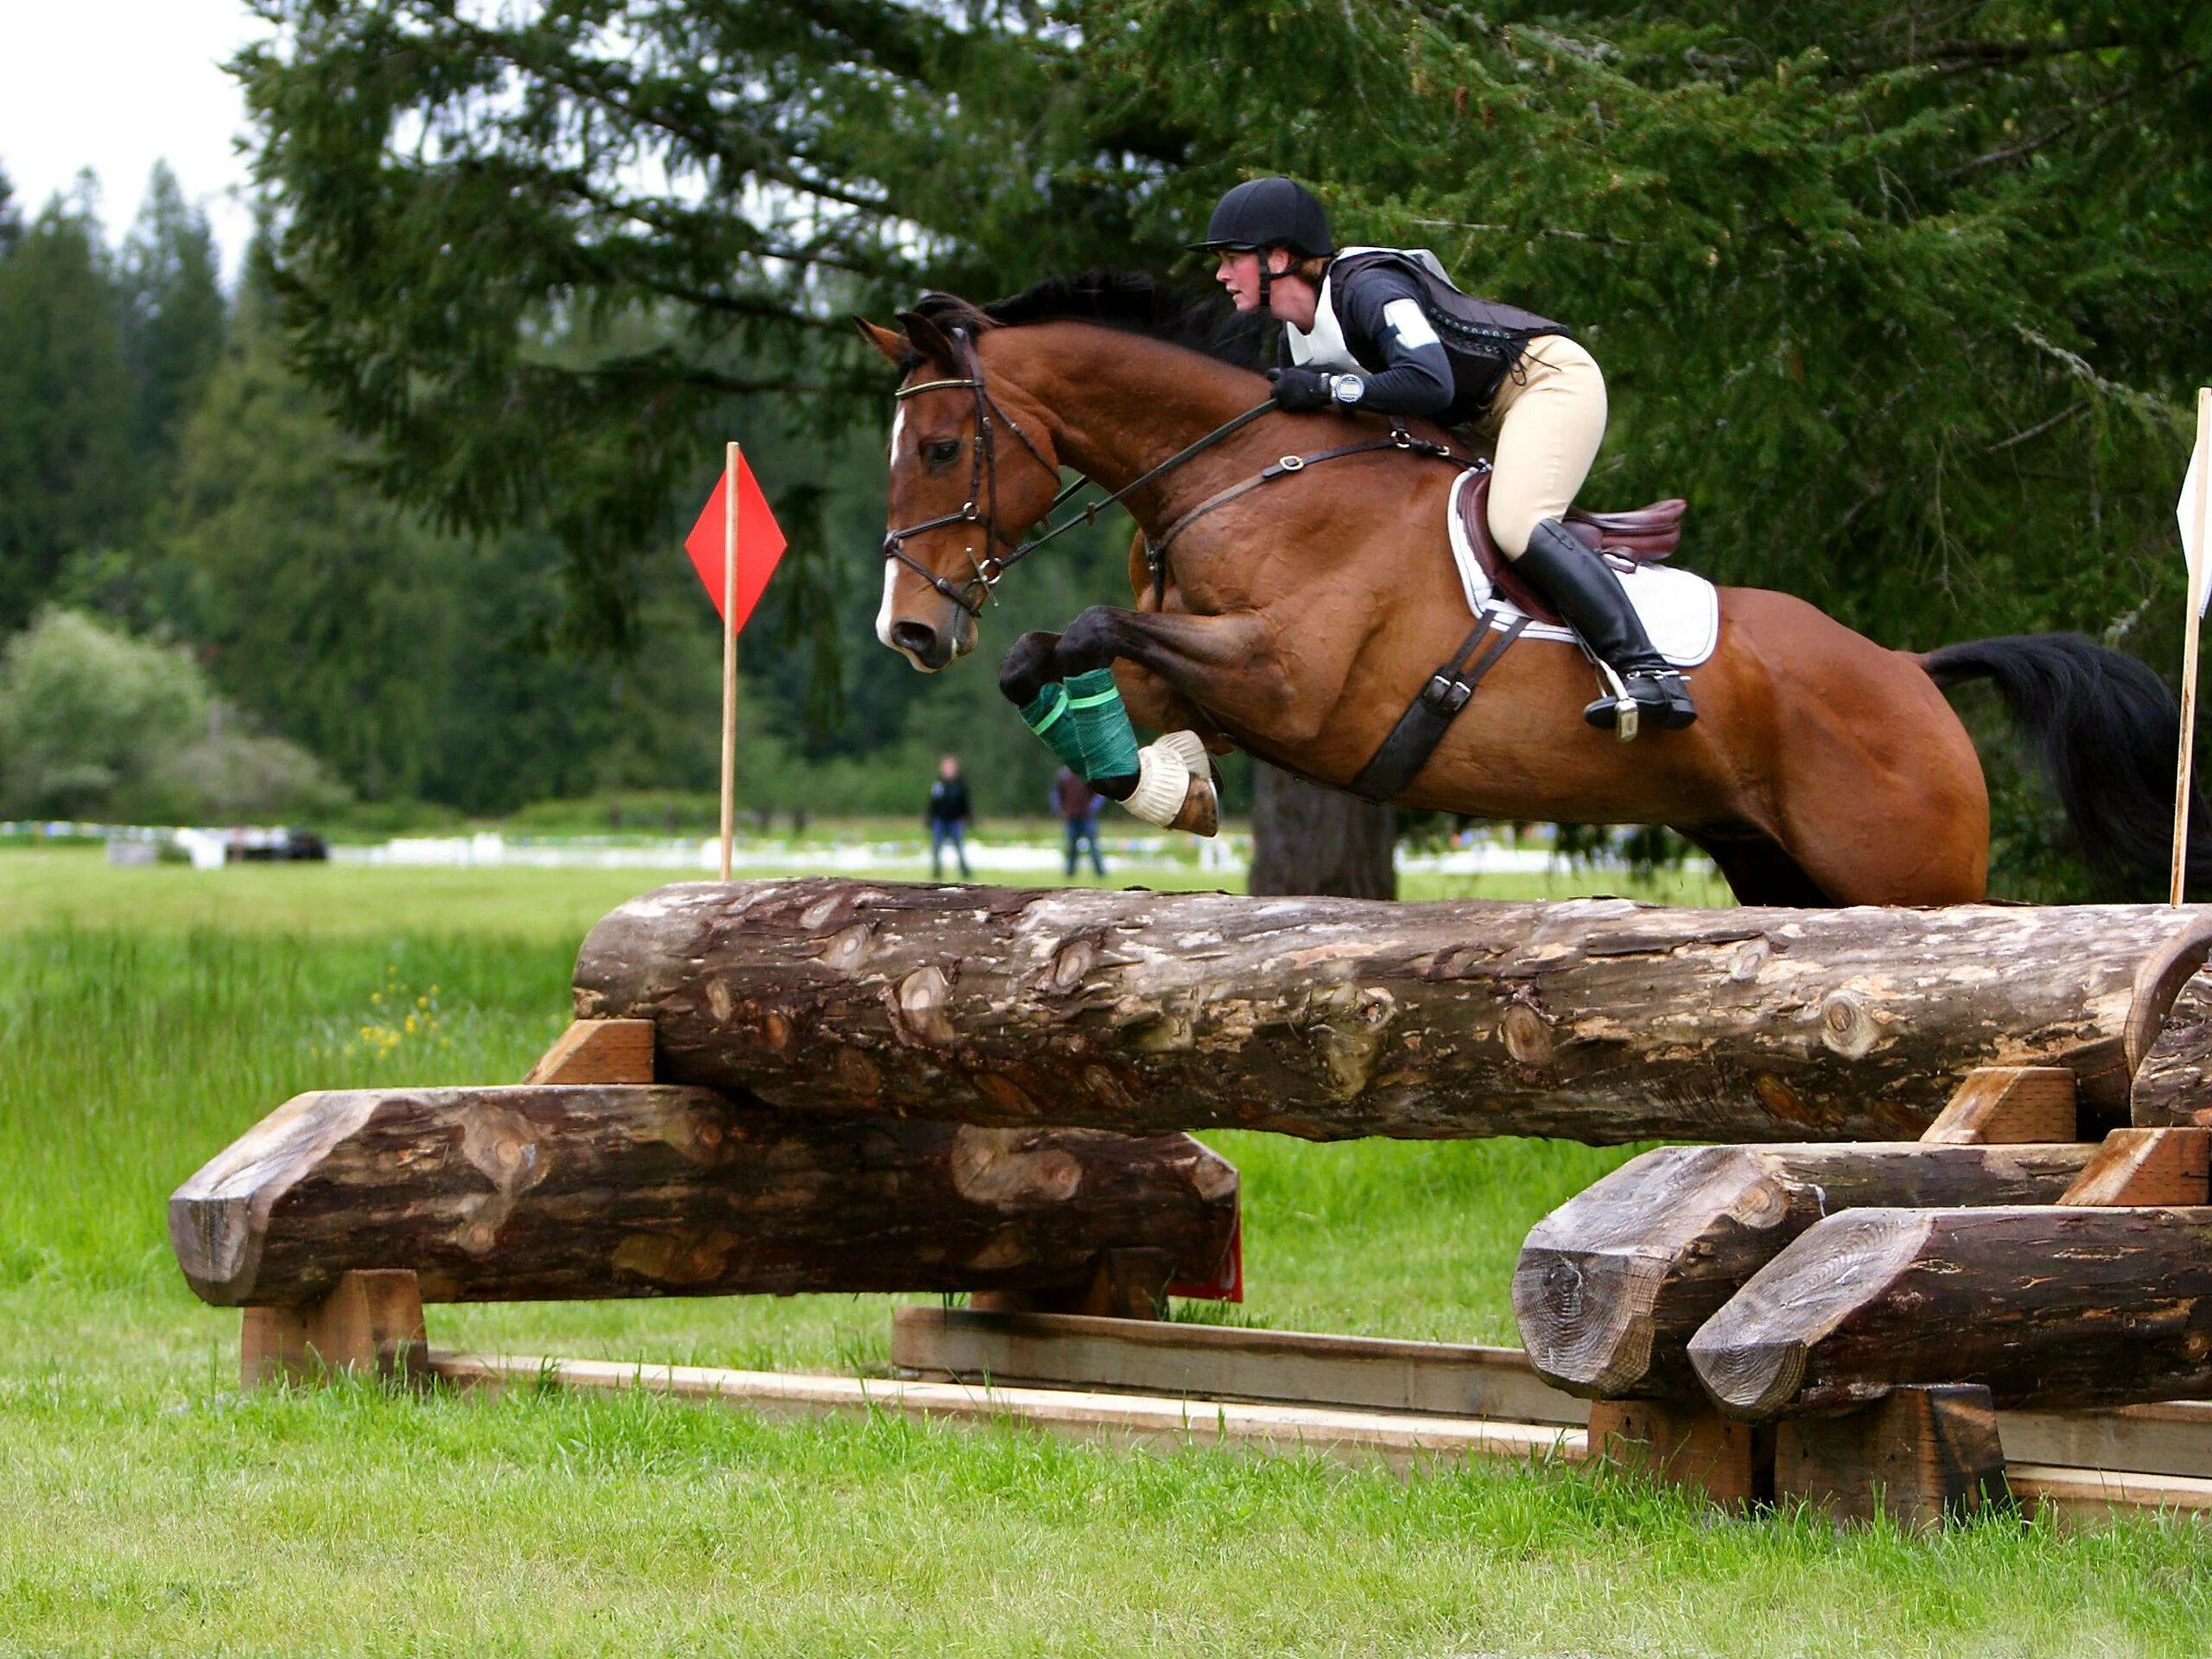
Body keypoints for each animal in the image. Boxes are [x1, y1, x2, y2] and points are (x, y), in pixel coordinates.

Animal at [858, 283, 2194, 911]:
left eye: (941, 448)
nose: (908, 631)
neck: (1248, 469)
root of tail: (1912, 674)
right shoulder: (1212, 666)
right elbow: (1057, 662)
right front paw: (1166, 786)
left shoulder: (1293, 684)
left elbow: (1085, 628)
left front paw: (1165, 784)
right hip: (1773, 867)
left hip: (1905, 873)